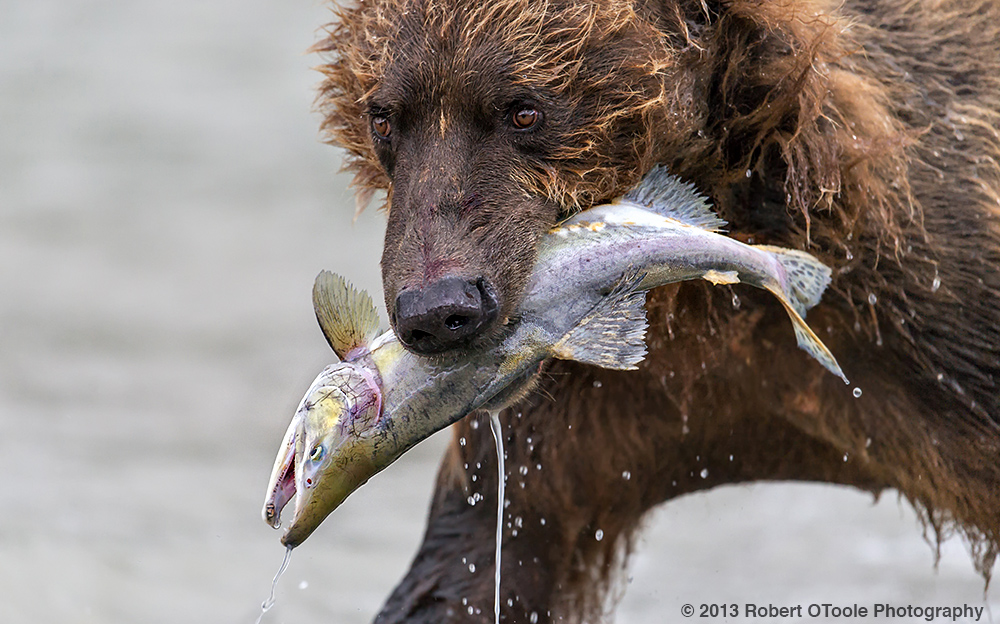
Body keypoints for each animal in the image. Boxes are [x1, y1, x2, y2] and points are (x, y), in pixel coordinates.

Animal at [310, 0, 992, 620]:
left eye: (524, 109)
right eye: (384, 117)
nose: (438, 308)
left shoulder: (930, 315)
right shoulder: (574, 417)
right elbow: (478, 562)